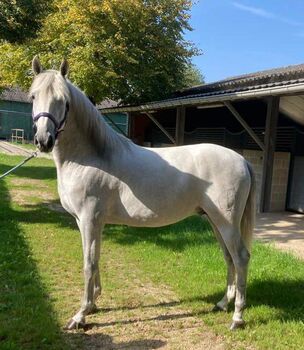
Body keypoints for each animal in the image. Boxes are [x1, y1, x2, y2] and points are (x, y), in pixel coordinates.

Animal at [30, 56, 254, 330]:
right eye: (33, 96)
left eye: (64, 100)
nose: (44, 140)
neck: (92, 157)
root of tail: (241, 160)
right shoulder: (89, 222)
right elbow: (95, 258)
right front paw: (93, 304)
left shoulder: (89, 219)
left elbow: (88, 263)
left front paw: (80, 315)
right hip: (214, 221)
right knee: (229, 257)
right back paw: (222, 303)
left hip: (227, 223)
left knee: (241, 257)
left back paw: (237, 317)